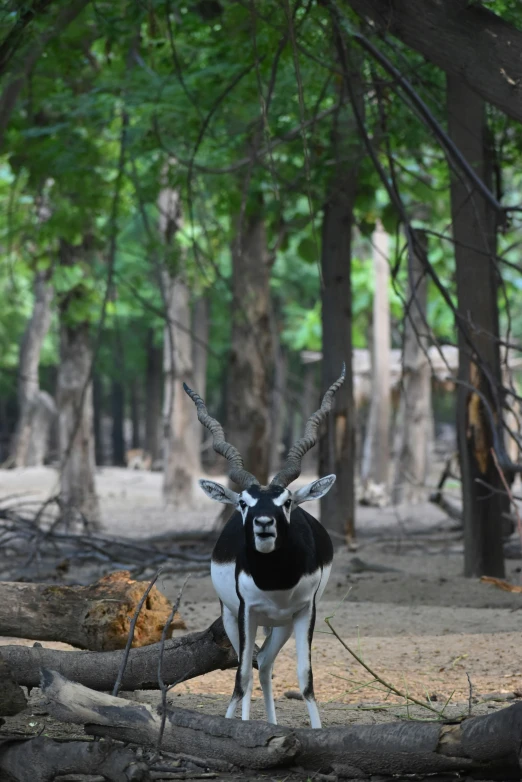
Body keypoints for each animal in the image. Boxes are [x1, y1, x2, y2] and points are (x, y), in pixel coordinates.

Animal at [184, 368, 346, 728]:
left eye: (286, 502)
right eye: (244, 502)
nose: (263, 524)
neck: (275, 581)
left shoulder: (305, 612)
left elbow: (305, 679)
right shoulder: (246, 611)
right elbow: (240, 677)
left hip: (281, 624)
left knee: (266, 664)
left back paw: (270, 724)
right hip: (233, 617)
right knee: (250, 667)